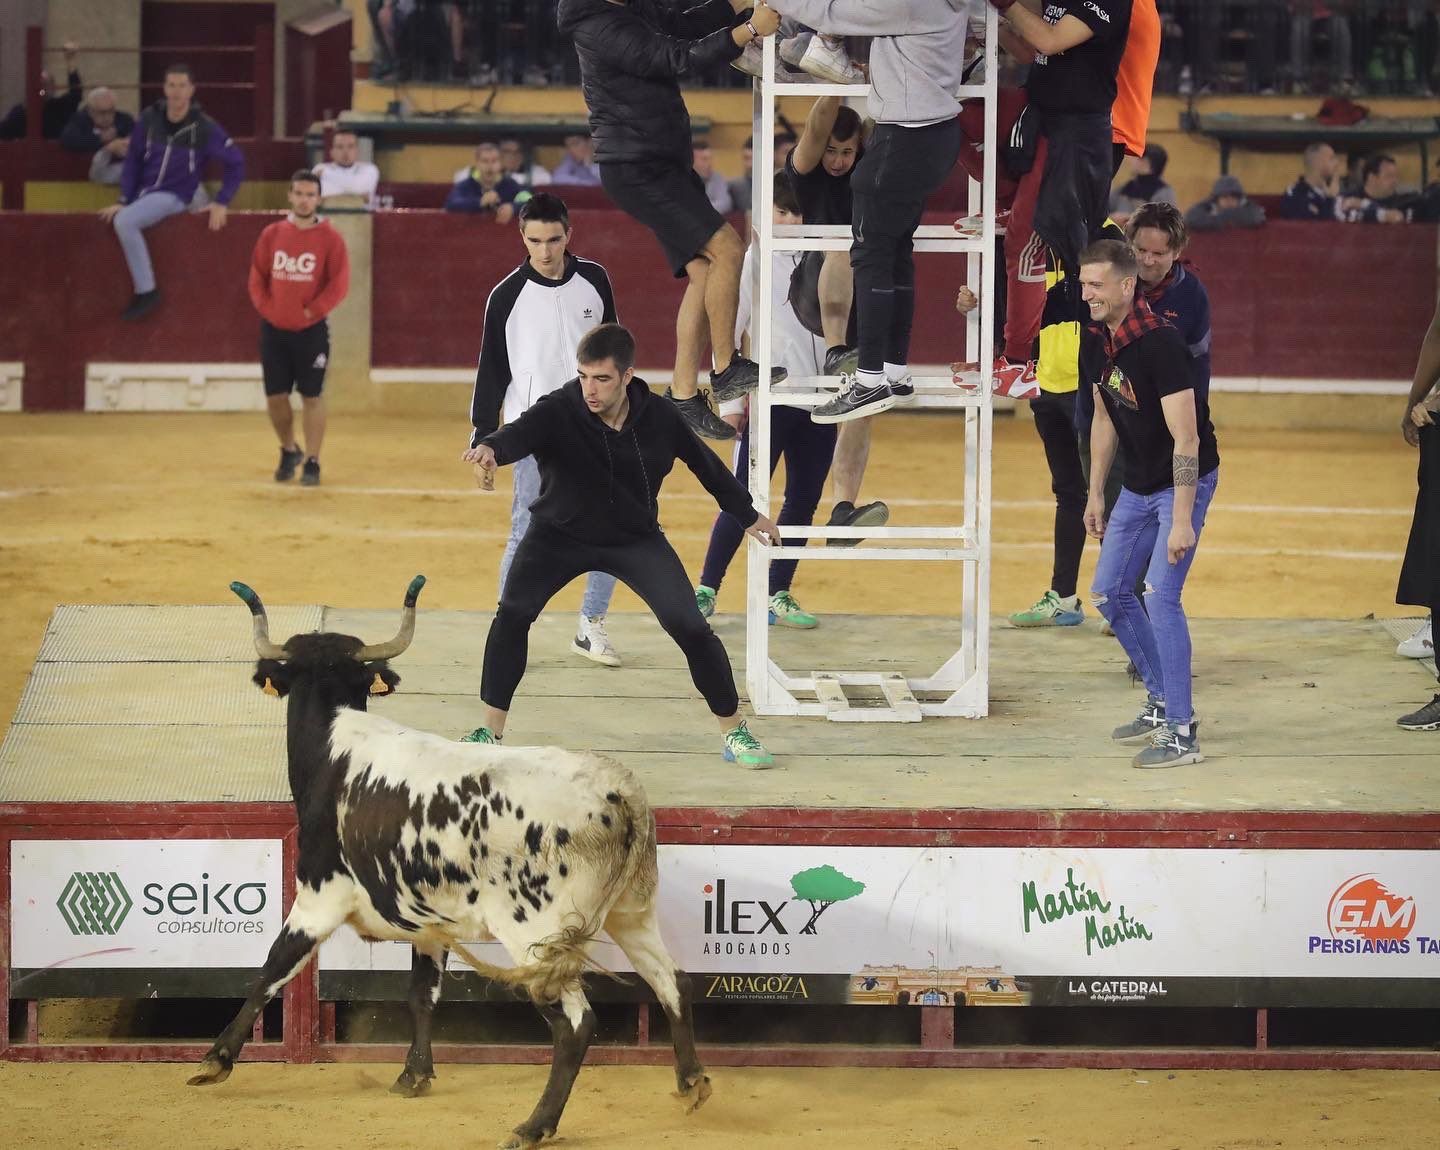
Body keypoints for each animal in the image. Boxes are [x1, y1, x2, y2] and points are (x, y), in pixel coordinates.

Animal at [191, 581, 708, 1145]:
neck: (336, 742)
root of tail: (618, 791)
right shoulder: (428, 925)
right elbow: (422, 992)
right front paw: (414, 1074)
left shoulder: (317, 897)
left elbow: (271, 969)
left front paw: (216, 1060)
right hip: (632, 913)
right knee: (672, 981)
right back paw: (691, 1083)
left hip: (535, 935)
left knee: (575, 1023)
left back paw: (535, 1125)